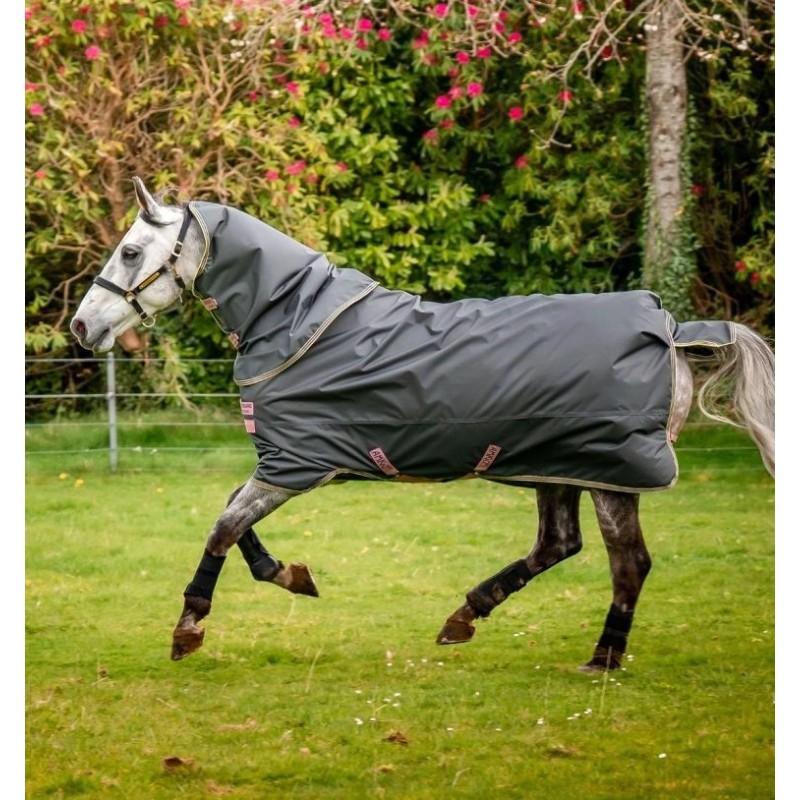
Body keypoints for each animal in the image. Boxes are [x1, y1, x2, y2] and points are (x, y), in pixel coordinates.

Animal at [70, 177, 775, 671]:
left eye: (130, 251)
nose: (82, 326)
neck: (298, 320)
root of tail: (674, 332)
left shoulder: (296, 465)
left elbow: (223, 526)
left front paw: (189, 628)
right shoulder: (289, 465)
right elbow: (234, 521)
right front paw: (292, 576)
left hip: (609, 475)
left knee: (627, 564)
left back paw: (600, 657)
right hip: (559, 463)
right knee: (558, 544)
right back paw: (466, 615)